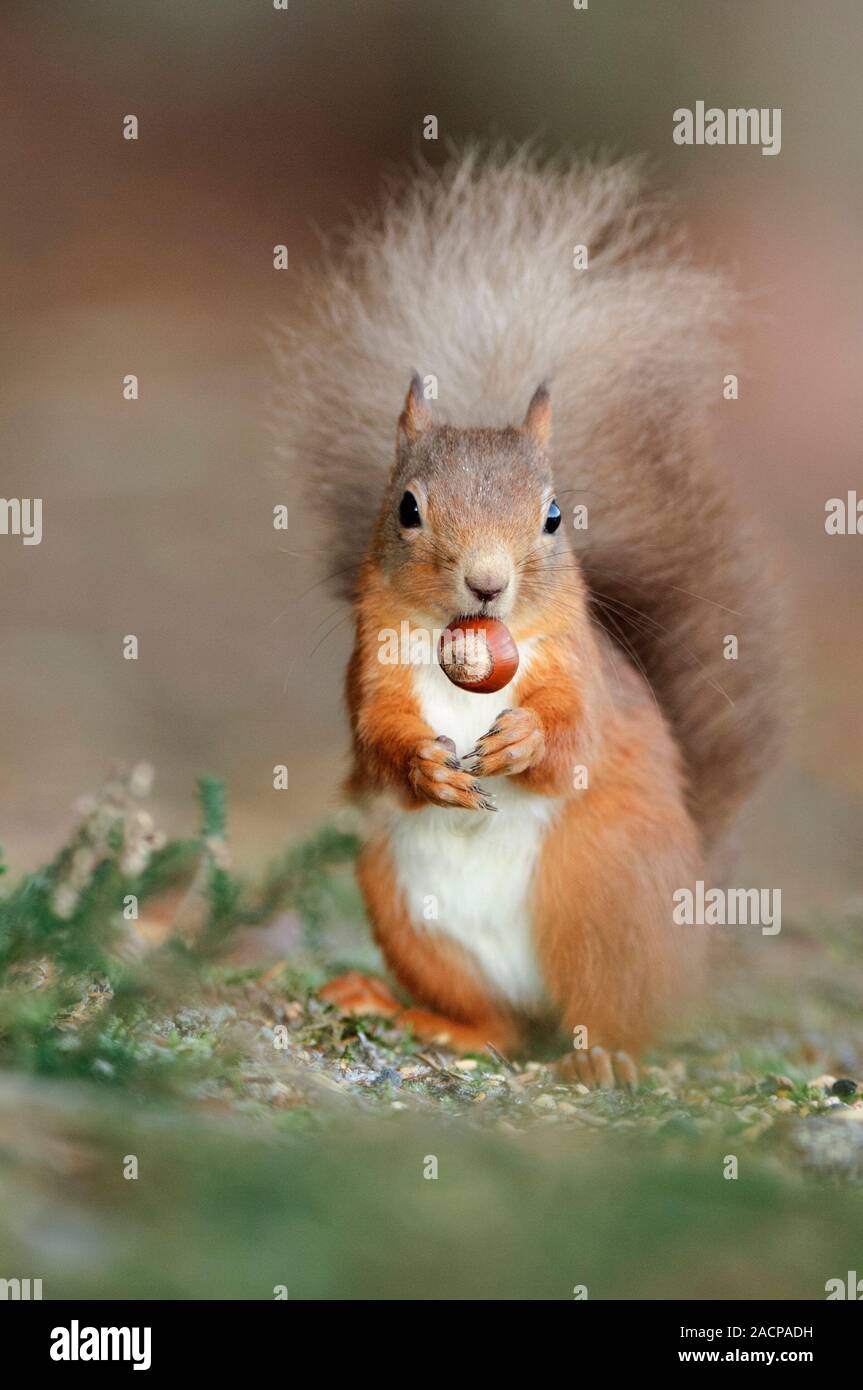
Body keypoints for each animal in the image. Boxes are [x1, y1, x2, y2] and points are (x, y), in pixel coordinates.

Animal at [275, 148, 786, 1071]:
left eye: (553, 517)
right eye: (407, 507)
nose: (487, 583)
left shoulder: (583, 669)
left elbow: (573, 736)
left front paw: (522, 742)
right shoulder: (373, 664)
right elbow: (377, 738)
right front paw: (426, 766)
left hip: (603, 887)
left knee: (605, 1014)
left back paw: (604, 1056)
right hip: (403, 905)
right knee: (499, 1026)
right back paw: (414, 1012)